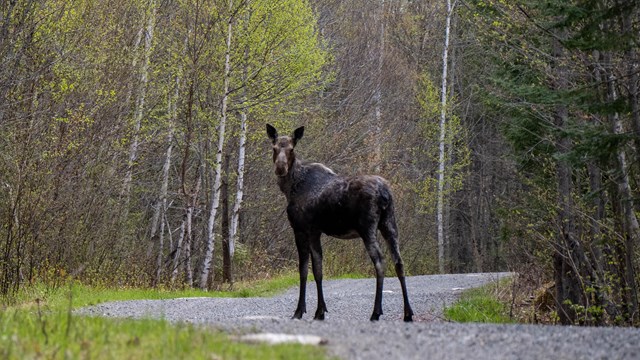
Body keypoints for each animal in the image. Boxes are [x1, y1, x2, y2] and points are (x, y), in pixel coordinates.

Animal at [264, 124, 416, 324]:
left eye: (291, 149)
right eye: (274, 148)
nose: (280, 168)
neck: (290, 188)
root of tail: (385, 194)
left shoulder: (302, 229)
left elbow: (305, 270)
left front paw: (301, 311)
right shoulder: (315, 231)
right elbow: (318, 269)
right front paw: (320, 311)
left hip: (367, 228)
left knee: (380, 261)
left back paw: (375, 312)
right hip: (389, 223)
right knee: (399, 261)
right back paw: (408, 313)